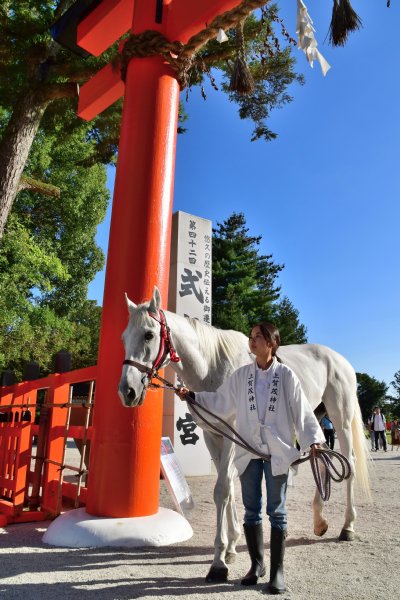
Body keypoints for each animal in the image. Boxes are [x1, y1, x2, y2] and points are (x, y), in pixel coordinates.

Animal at [119, 288, 372, 584]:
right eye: (124, 337)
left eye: (149, 334)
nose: (127, 391)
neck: (213, 367)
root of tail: (340, 359)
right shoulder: (213, 436)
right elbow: (227, 487)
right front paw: (231, 545)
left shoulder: (231, 436)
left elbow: (223, 489)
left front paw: (219, 561)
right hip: (316, 418)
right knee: (319, 459)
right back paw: (320, 522)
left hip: (340, 419)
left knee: (348, 462)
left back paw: (348, 526)